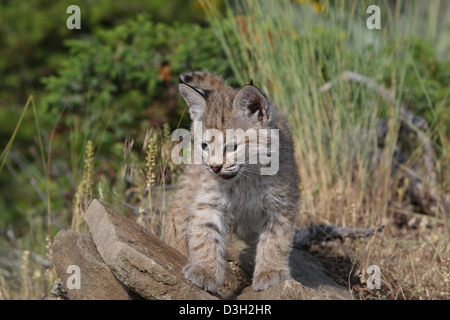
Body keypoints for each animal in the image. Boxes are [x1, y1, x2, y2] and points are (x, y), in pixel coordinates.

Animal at [165, 71, 298, 292]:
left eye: (232, 147)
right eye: (204, 146)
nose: (214, 167)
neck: (246, 178)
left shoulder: (282, 203)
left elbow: (276, 239)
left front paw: (270, 272)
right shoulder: (209, 199)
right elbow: (205, 232)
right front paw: (205, 270)